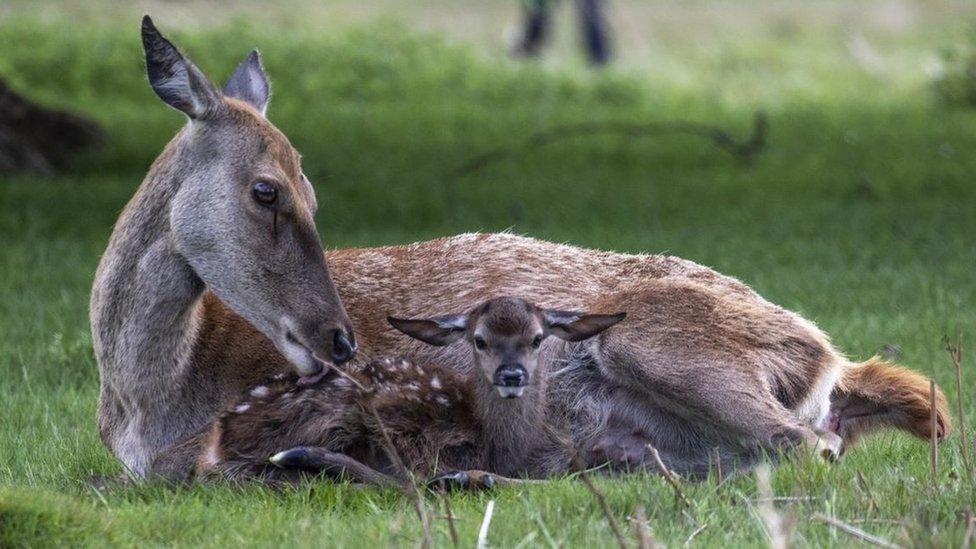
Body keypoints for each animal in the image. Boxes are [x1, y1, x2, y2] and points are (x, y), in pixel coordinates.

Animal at [91, 18, 944, 480]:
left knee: (803, 444)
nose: (339, 339)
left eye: (312, 192)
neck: (142, 404)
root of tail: (830, 361)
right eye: (268, 189)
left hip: (658, 340)